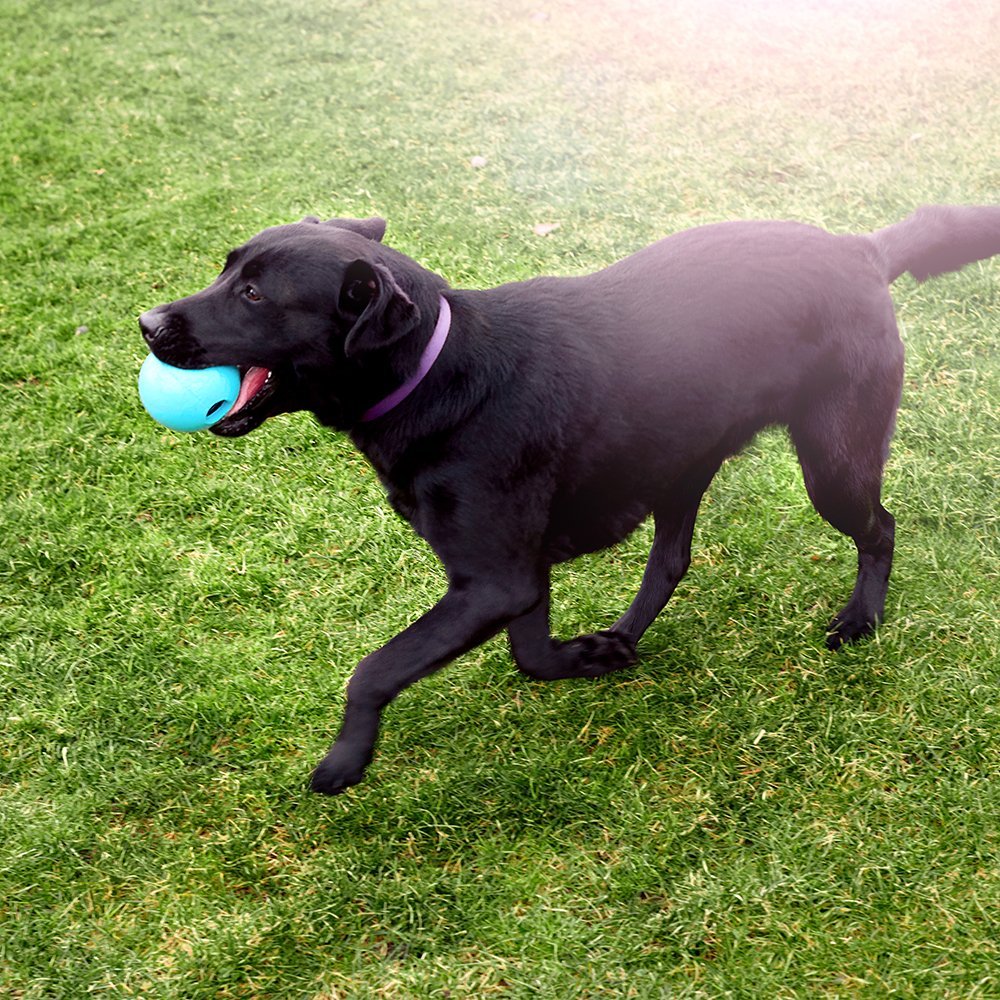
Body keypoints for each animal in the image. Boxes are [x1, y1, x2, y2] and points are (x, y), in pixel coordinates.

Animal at [141, 205, 1000, 796]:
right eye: (228, 270)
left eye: (255, 295)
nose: (147, 323)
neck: (435, 367)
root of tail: (864, 250)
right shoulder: (517, 577)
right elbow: (530, 656)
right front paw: (588, 657)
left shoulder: (494, 579)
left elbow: (376, 667)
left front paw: (345, 758)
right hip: (680, 460)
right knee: (672, 559)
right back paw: (623, 635)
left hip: (832, 459)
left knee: (881, 528)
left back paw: (861, 619)